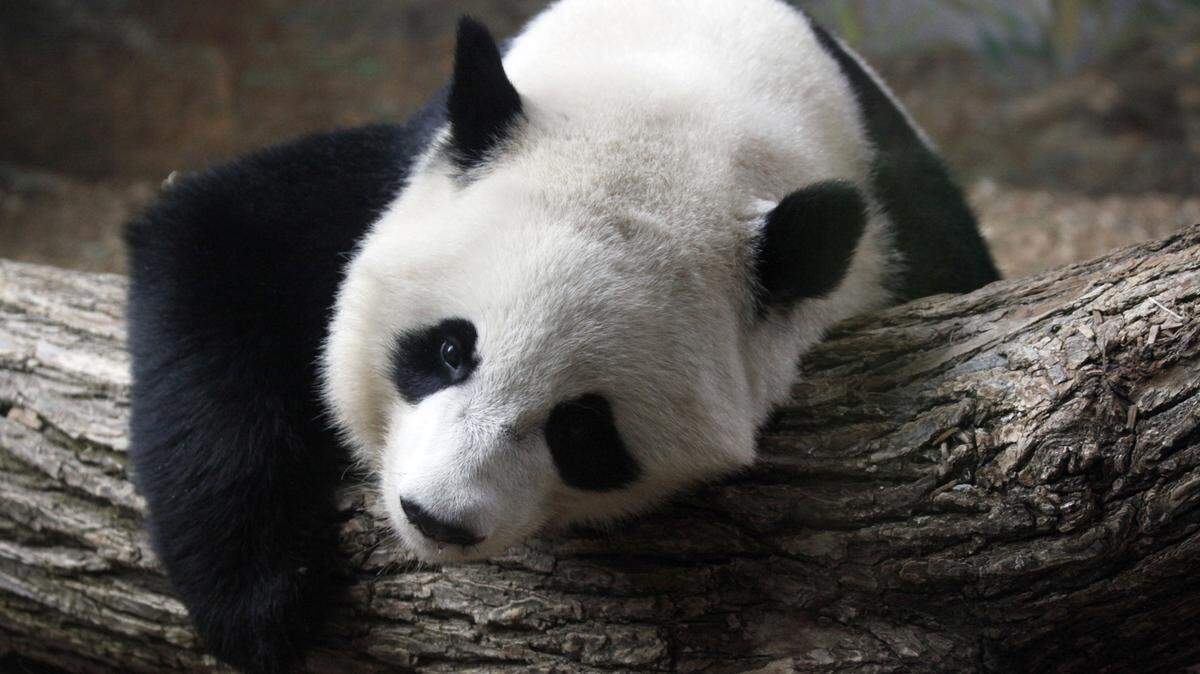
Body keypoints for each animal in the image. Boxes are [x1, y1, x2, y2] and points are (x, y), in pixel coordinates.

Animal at [125, 1, 998, 672]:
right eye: (449, 350)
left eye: (581, 429)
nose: (435, 518)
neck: (682, 88)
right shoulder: (404, 171)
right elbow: (211, 240)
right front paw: (261, 601)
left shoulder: (896, 243)